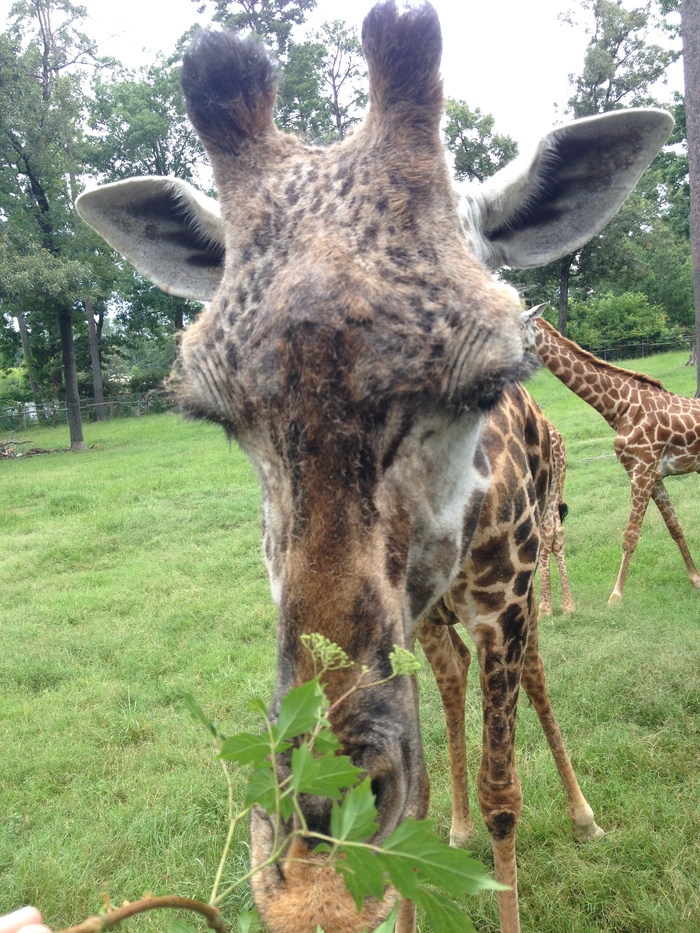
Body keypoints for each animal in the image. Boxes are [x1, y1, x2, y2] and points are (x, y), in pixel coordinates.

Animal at [75, 3, 672, 930]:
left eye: (487, 379)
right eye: (216, 415)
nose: (315, 842)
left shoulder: (505, 602)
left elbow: (506, 791)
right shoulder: (418, 610)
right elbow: (423, 798)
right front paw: (432, 842)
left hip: (524, 578)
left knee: (534, 678)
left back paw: (581, 813)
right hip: (434, 616)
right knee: (453, 684)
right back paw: (458, 825)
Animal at [523, 306, 700, 604]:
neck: (620, 408)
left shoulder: (641, 471)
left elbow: (630, 536)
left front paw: (615, 595)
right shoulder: (653, 474)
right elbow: (675, 527)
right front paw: (695, 579)